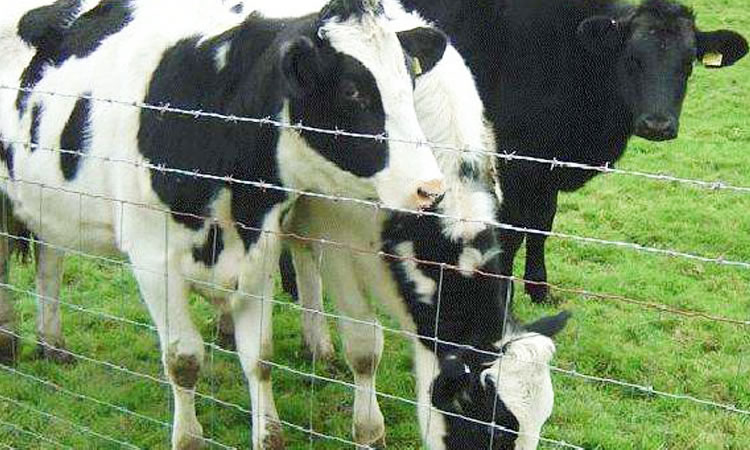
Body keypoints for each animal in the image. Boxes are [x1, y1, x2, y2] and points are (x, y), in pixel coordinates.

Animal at [0, 0, 450, 448]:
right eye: (352, 91)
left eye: (410, 80)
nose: (430, 188)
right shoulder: (152, 260)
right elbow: (182, 360)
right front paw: (188, 438)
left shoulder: (260, 250)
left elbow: (260, 358)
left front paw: (268, 436)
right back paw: (9, 344)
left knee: (49, 259)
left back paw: (52, 343)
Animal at [399, 0, 749, 302]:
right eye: (632, 59)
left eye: (688, 63)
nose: (658, 124)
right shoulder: (516, 161)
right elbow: (513, 232)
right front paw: (503, 297)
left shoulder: (549, 164)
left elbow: (542, 224)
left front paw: (538, 288)